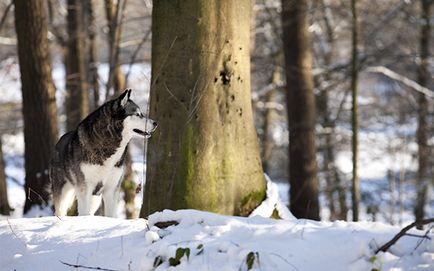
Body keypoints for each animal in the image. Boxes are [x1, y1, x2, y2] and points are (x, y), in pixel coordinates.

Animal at [50, 89, 157, 217]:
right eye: (138, 114)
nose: (156, 123)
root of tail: (59, 141)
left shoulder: (112, 190)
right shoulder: (85, 189)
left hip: (95, 199)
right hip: (63, 195)